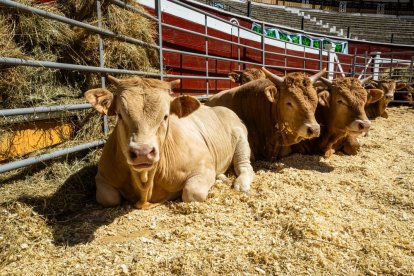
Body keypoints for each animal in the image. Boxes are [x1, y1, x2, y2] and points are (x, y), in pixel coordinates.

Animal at [85, 75, 254, 209]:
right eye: (120, 115)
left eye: (165, 116)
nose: (142, 152)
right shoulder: (102, 176)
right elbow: (109, 198)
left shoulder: (204, 166)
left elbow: (191, 193)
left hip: (241, 140)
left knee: (245, 166)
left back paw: (241, 184)